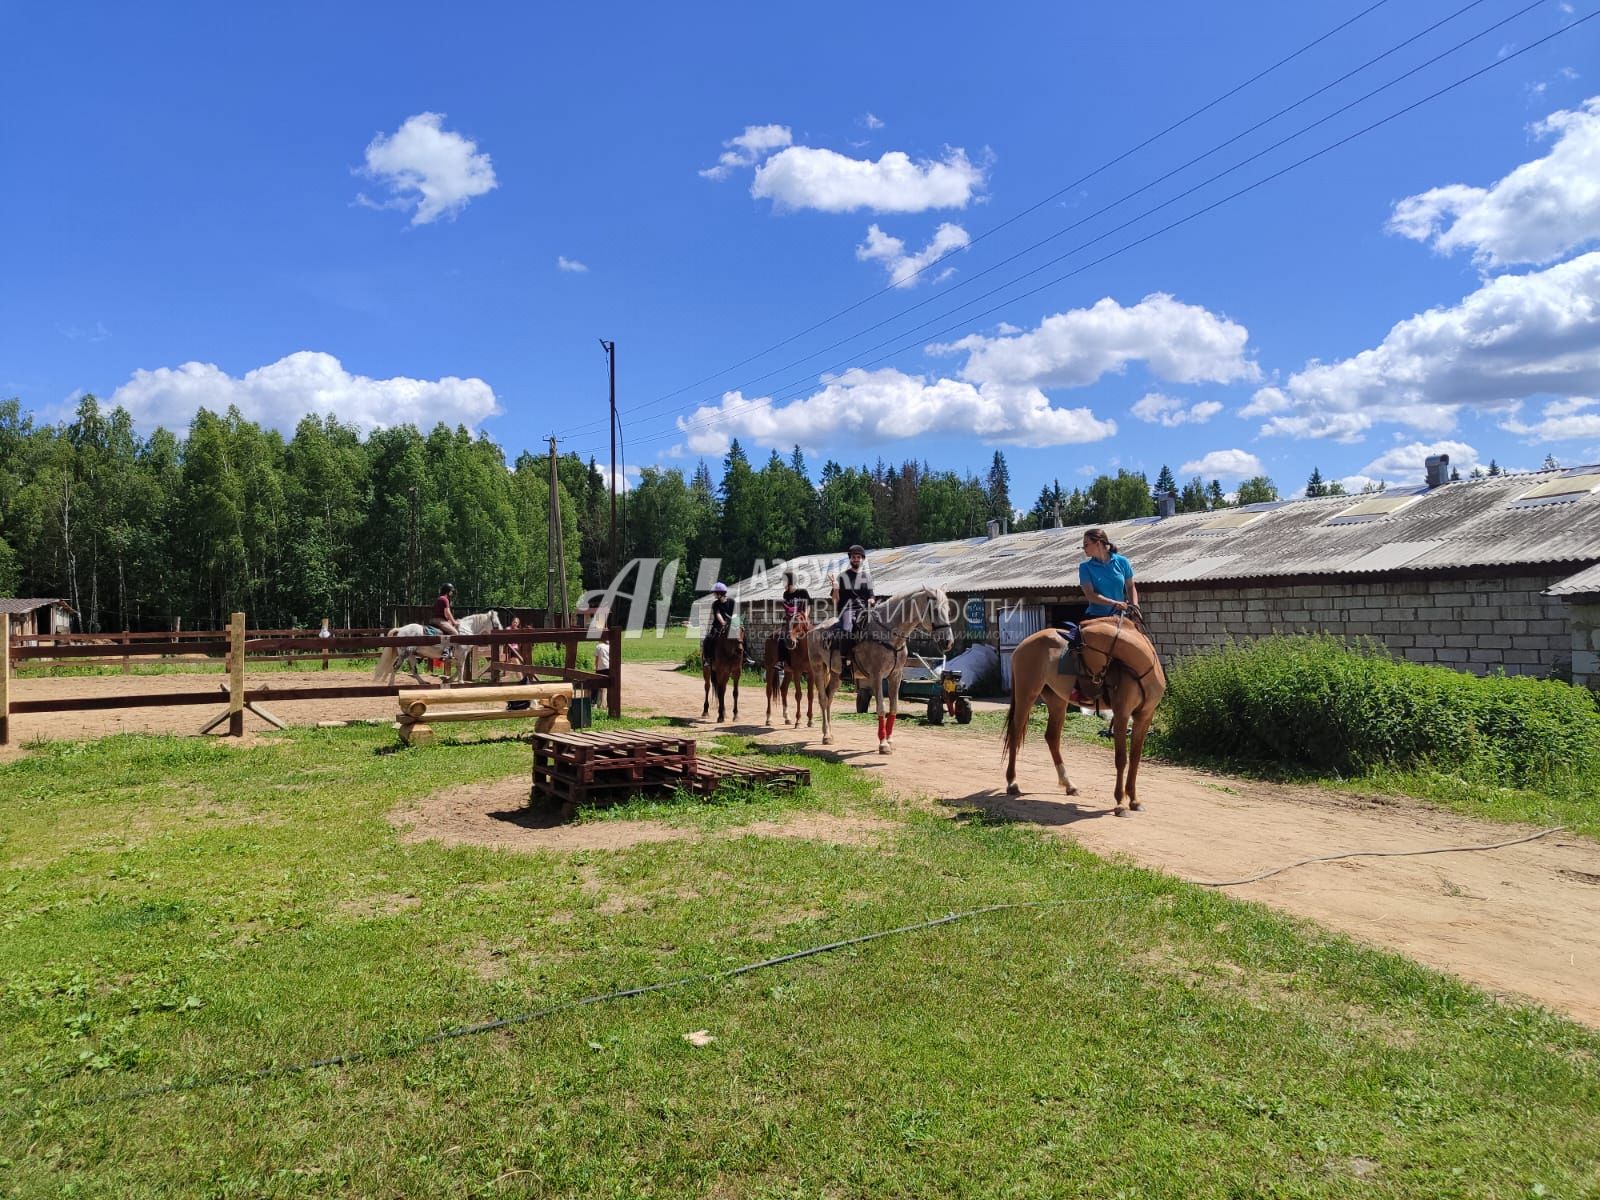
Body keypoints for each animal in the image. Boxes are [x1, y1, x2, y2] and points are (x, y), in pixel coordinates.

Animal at [372, 611, 502, 684]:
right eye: (496, 622)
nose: (501, 630)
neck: (466, 630)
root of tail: (400, 629)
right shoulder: (462, 654)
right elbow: (461, 667)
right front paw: (460, 681)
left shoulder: (457, 656)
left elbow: (458, 668)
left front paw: (449, 679)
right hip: (404, 655)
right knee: (395, 668)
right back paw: (391, 684)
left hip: (411, 655)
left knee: (414, 670)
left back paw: (423, 682)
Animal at [806, 588, 953, 755]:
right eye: (935, 610)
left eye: (948, 610)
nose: (948, 642)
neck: (888, 635)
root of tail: (815, 629)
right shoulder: (876, 677)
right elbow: (881, 708)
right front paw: (883, 744)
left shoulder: (895, 676)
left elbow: (893, 707)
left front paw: (890, 740)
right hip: (818, 668)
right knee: (823, 699)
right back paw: (825, 735)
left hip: (836, 674)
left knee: (829, 697)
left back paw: (830, 734)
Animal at [998, 620, 1164, 819]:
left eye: (1077, 653)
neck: (1140, 670)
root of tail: (1022, 645)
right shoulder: (1122, 715)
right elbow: (1121, 759)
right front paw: (1120, 803)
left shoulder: (1144, 718)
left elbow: (1135, 758)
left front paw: (1134, 800)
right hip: (1026, 695)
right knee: (1015, 734)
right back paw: (1012, 783)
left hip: (1057, 701)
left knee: (1052, 737)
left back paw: (1069, 785)